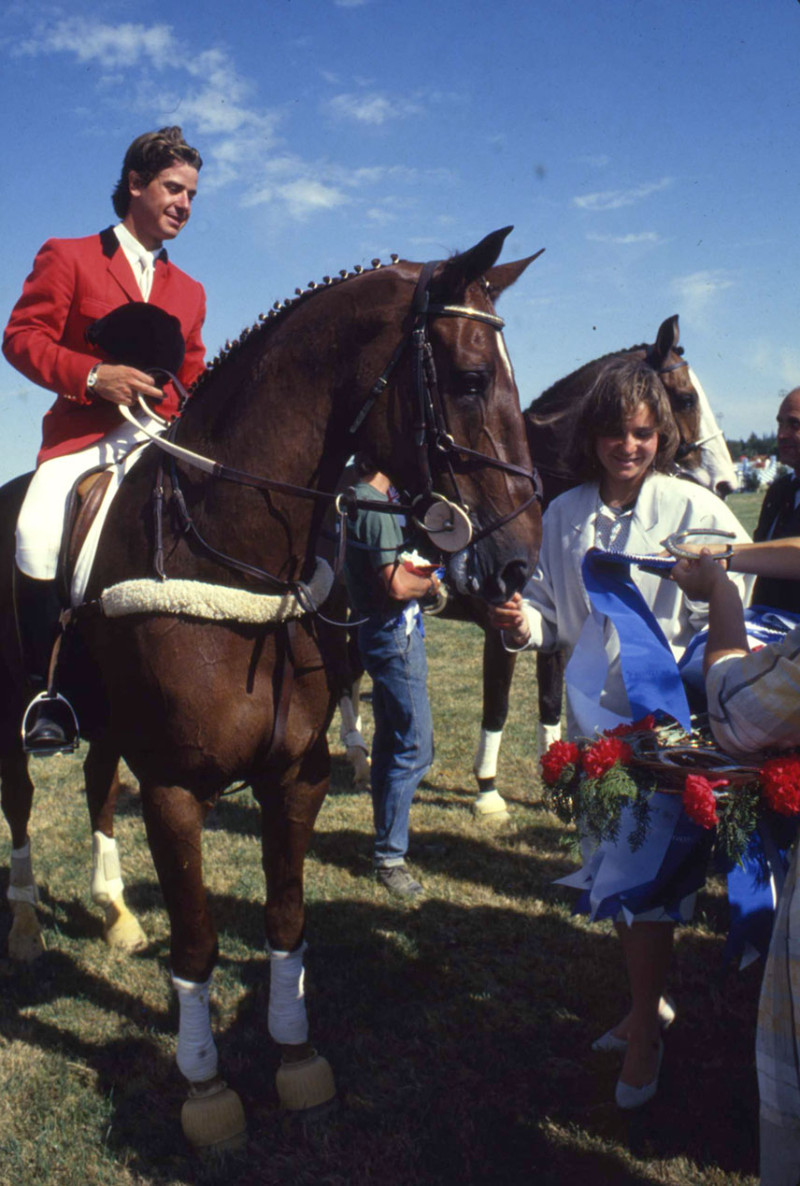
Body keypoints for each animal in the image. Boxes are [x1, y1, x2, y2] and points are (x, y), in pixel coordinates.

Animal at [0, 224, 545, 1148]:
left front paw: (295, 1059)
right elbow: (197, 946)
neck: (230, 549)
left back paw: (115, 912)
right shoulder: (175, 788)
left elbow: (287, 923)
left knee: (98, 786)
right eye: (473, 380)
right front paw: (206, 1088)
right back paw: (31, 924)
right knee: (22, 806)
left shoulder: (296, 776)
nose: (517, 564)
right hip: (10, 713)